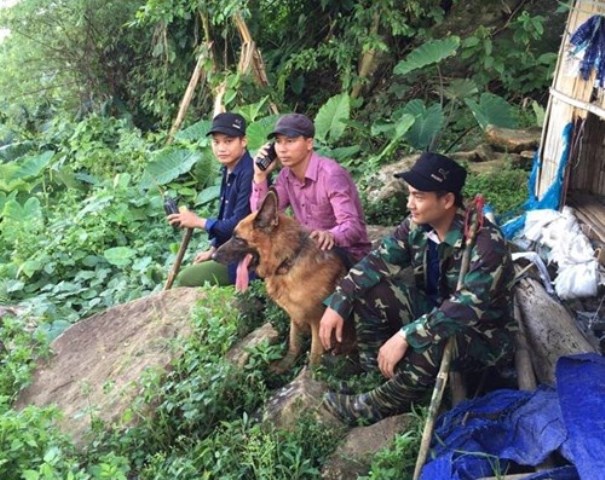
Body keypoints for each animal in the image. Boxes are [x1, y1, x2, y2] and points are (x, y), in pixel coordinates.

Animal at [212, 189, 354, 370]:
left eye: (237, 239)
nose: (213, 256)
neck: (287, 262)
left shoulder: (318, 321)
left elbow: (314, 354)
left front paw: (311, 373)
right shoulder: (294, 316)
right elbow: (294, 342)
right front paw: (284, 366)